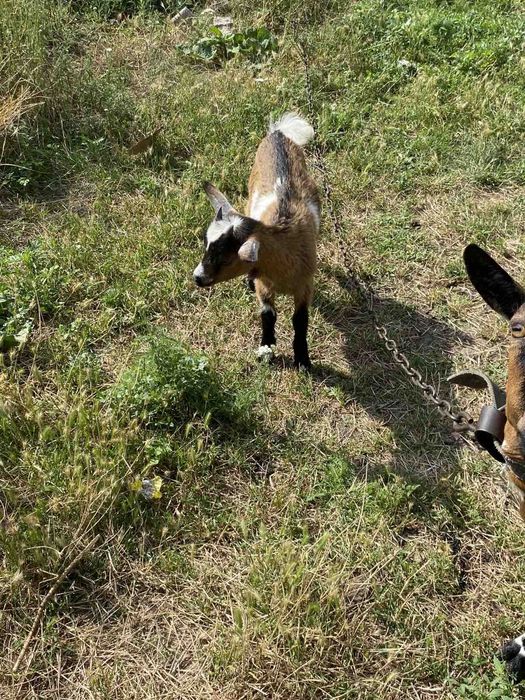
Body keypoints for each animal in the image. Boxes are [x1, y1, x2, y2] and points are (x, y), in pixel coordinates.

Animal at [193, 113, 320, 370]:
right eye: (206, 246)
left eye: (226, 257)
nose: (197, 277)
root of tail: (278, 134)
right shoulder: (264, 285)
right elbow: (268, 314)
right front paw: (266, 349)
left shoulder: (305, 285)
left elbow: (300, 320)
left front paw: (302, 359)